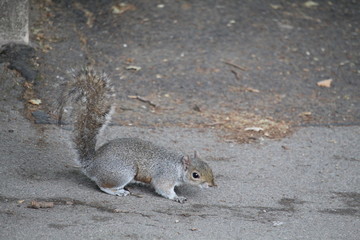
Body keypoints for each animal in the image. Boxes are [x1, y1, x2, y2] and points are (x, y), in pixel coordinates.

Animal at [59, 67, 215, 202]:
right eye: (195, 175)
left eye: (209, 167)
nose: (212, 185)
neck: (177, 167)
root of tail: (91, 164)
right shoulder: (165, 176)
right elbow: (163, 189)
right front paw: (177, 197)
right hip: (123, 172)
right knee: (103, 186)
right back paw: (118, 192)